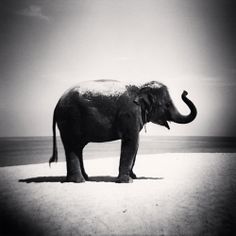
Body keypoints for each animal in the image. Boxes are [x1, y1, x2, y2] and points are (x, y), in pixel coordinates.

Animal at [48, 80, 196, 183]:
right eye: (167, 105)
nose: (185, 92)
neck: (140, 88)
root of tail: (57, 104)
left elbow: (136, 145)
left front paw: (134, 177)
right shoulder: (130, 114)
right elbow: (132, 142)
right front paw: (127, 181)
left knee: (78, 147)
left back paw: (84, 178)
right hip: (70, 120)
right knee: (72, 146)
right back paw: (79, 181)